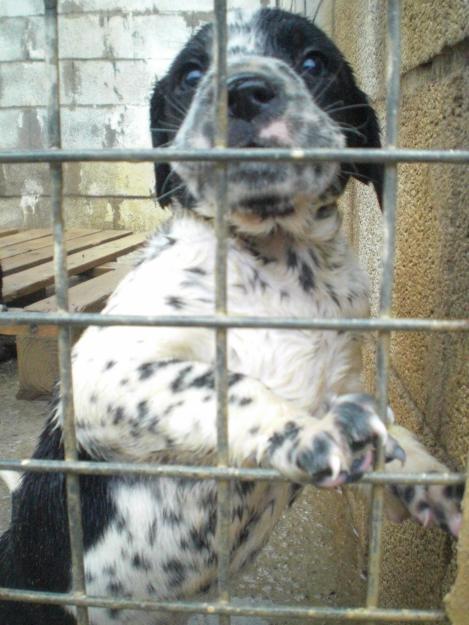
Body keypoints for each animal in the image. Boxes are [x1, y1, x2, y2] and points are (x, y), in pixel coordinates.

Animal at [0, 9, 462, 624]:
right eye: (192, 75)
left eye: (312, 62)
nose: (242, 91)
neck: (283, 264)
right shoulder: (101, 374)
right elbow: (225, 383)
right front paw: (306, 429)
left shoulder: (347, 377)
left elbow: (389, 426)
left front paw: (423, 471)